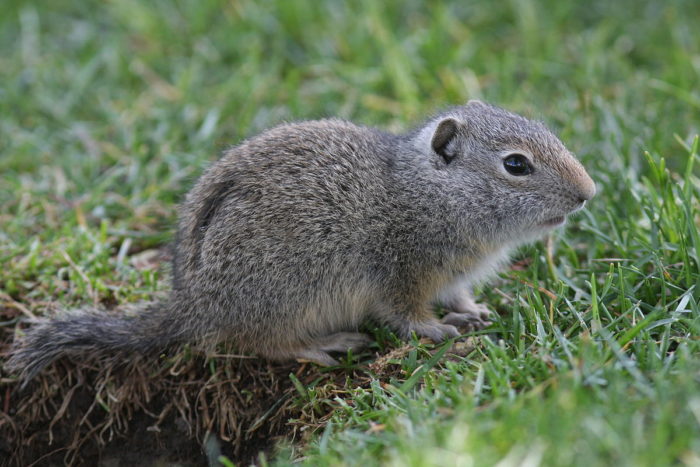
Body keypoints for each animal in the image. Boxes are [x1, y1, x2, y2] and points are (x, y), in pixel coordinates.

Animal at [6, 100, 596, 382]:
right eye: (516, 165)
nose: (588, 192)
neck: (429, 192)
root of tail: (190, 306)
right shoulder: (402, 274)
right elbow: (407, 316)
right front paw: (439, 331)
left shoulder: (450, 278)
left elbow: (460, 296)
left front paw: (475, 313)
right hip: (290, 295)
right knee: (258, 343)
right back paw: (324, 344)